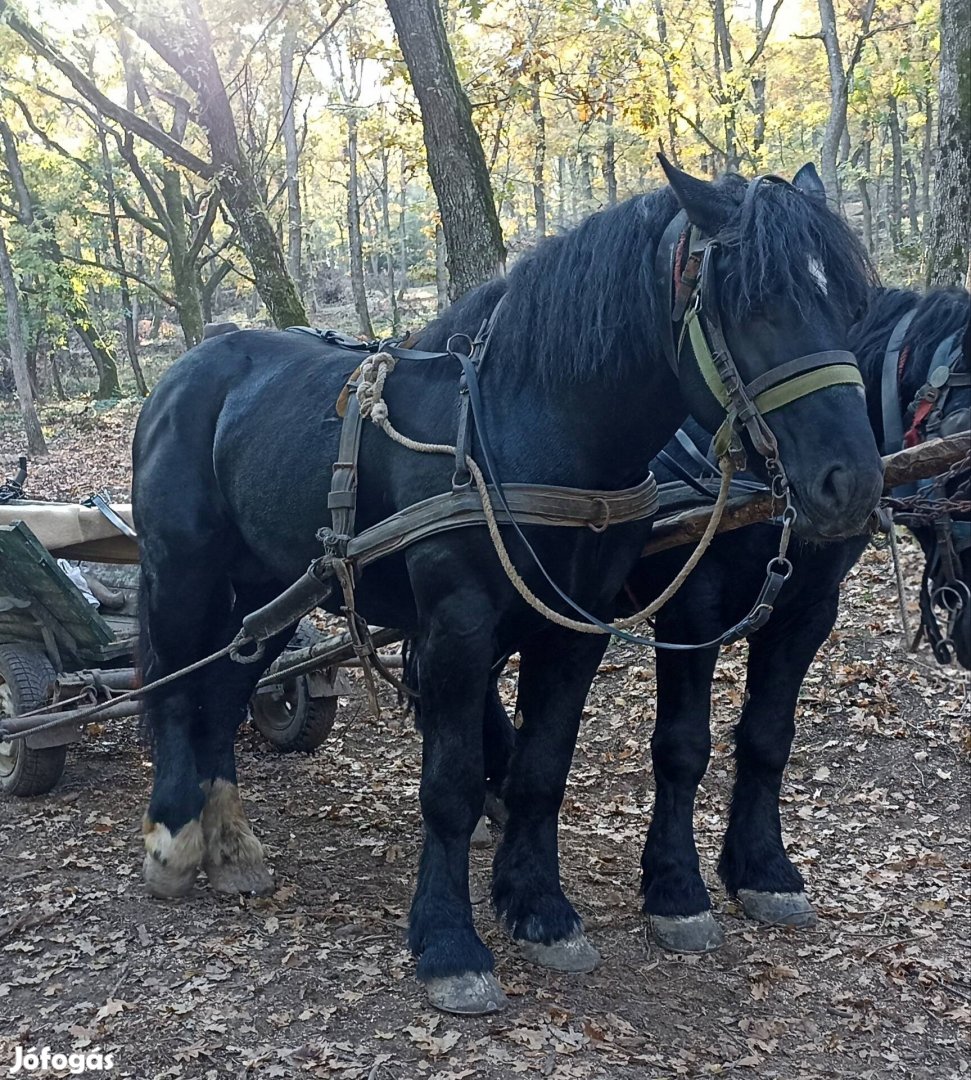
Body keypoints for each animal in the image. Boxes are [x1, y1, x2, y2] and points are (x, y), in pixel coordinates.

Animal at [132, 159, 885, 1010]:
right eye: (754, 304)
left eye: (851, 306)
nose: (851, 483)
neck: (529, 426)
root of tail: (186, 369)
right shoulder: (463, 628)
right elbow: (452, 786)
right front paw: (450, 944)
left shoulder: (578, 628)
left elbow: (542, 769)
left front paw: (541, 909)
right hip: (184, 573)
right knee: (172, 687)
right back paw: (173, 837)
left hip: (278, 587)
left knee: (226, 692)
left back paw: (229, 844)